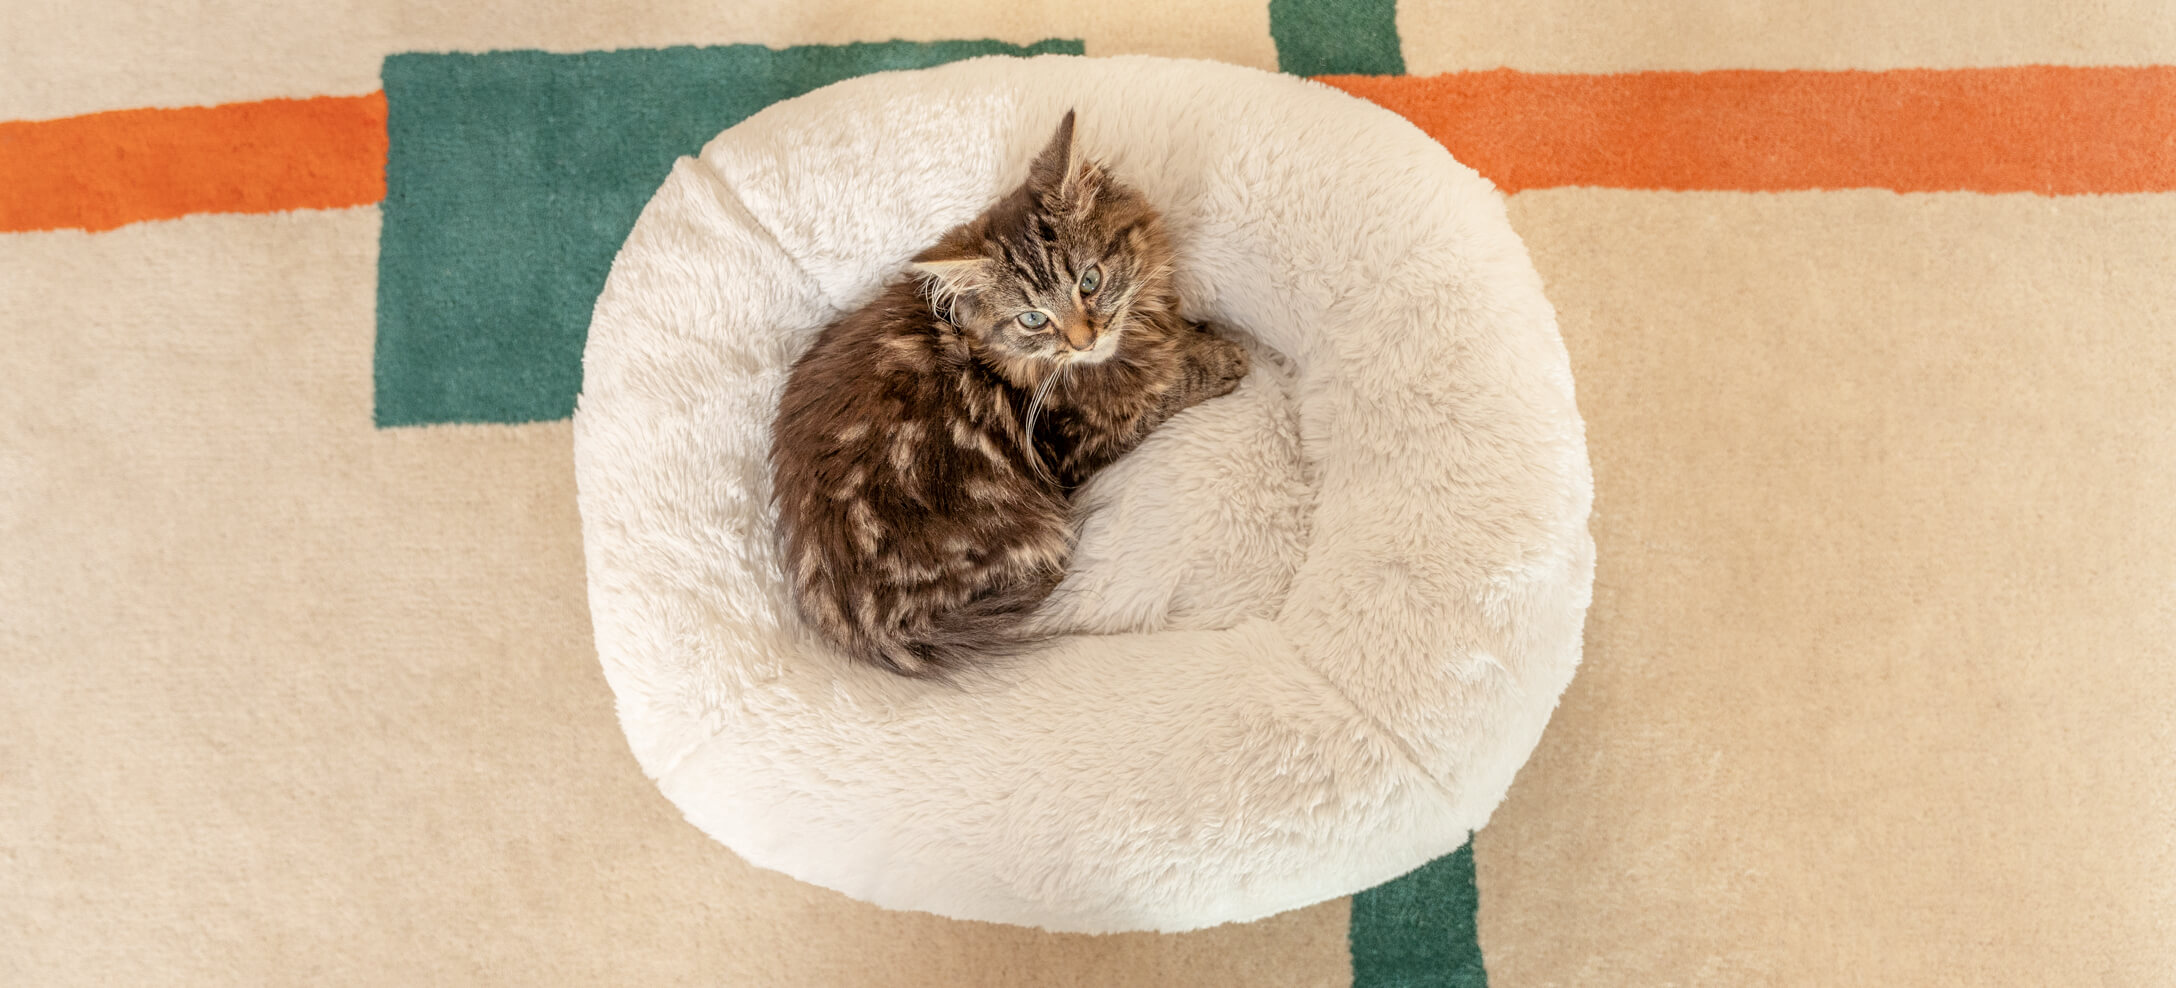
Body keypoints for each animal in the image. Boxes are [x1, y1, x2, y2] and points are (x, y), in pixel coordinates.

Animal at [770, 109, 1253, 678]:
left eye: (1090, 281)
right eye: (1032, 319)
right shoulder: (1074, 443)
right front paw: (1224, 357)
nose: (1085, 340)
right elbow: (1166, 388)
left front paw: (1201, 336)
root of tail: (870, 632)